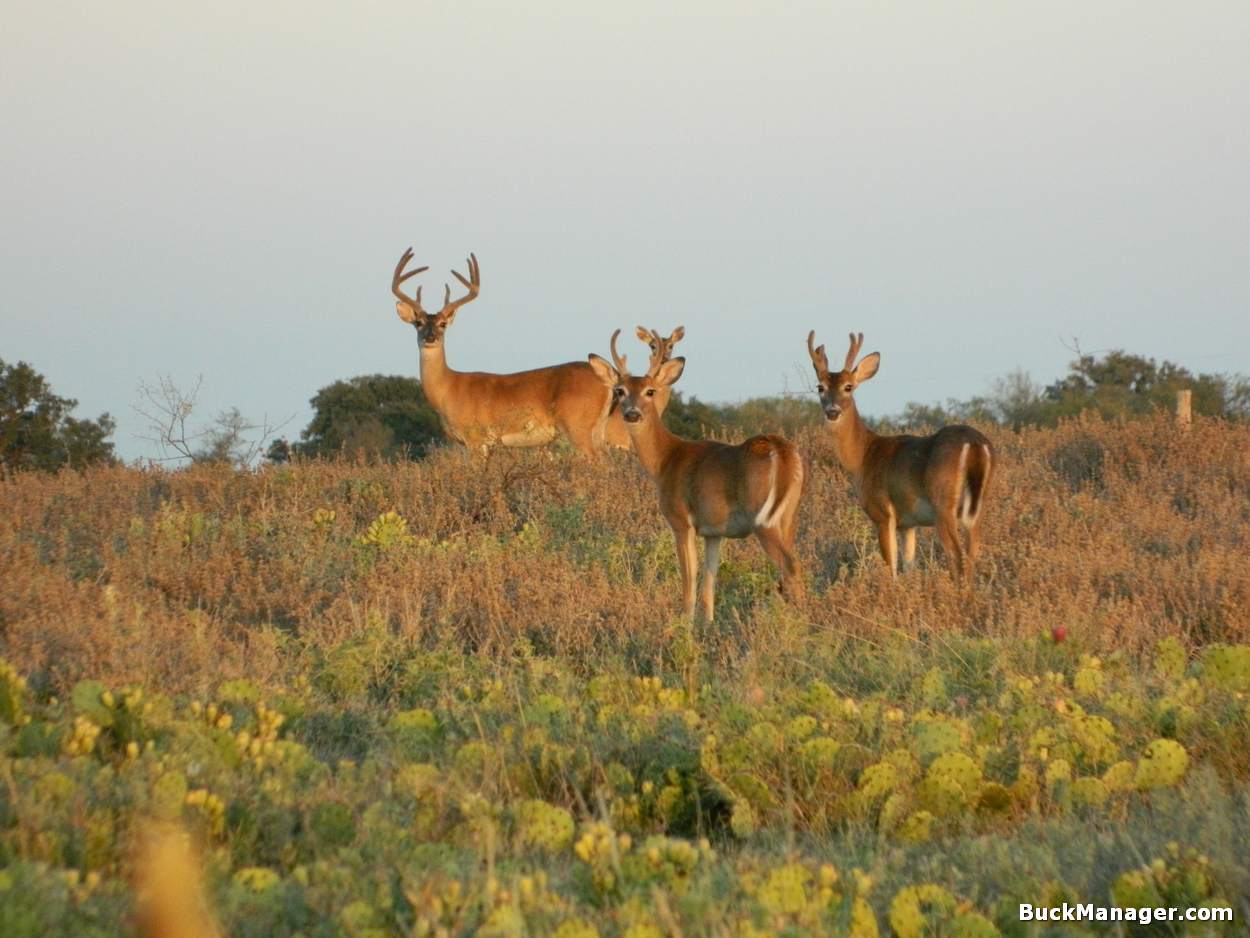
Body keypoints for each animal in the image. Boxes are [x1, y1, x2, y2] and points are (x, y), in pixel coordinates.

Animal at [390, 250, 620, 455]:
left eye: (443, 324)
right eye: (418, 323)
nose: (430, 338)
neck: (448, 389)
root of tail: (607, 380)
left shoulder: (475, 437)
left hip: (577, 425)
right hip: (597, 429)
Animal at [585, 332, 800, 625]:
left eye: (650, 391)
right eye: (620, 390)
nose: (632, 413)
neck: (665, 459)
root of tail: (783, 451)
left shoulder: (681, 521)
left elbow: (689, 578)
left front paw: (683, 624)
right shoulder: (714, 532)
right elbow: (710, 581)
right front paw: (707, 623)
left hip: (763, 519)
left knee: (791, 566)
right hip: (787, 517)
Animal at [810, 330, 995, 580]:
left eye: (848, 387)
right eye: (820, 387)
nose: (832, 411)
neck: (863, 456)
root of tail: (975, 445)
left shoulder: (883, 513)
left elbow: (891, 567)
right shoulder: (908, 524)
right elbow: (908, 565)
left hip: (943, 505)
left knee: (958, 558)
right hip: (977, 507)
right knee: (973, 553)